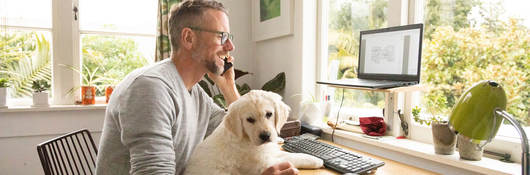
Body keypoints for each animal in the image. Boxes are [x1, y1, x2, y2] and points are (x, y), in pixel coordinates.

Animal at [186, 89, 322, 174]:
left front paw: (313, 158)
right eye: (249, 120)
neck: (247, 139)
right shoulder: (263, 164)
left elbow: (290, 155)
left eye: (269, 114)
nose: (265, 136)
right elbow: (290, 159)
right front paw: (316, 161)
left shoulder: (269, 152)